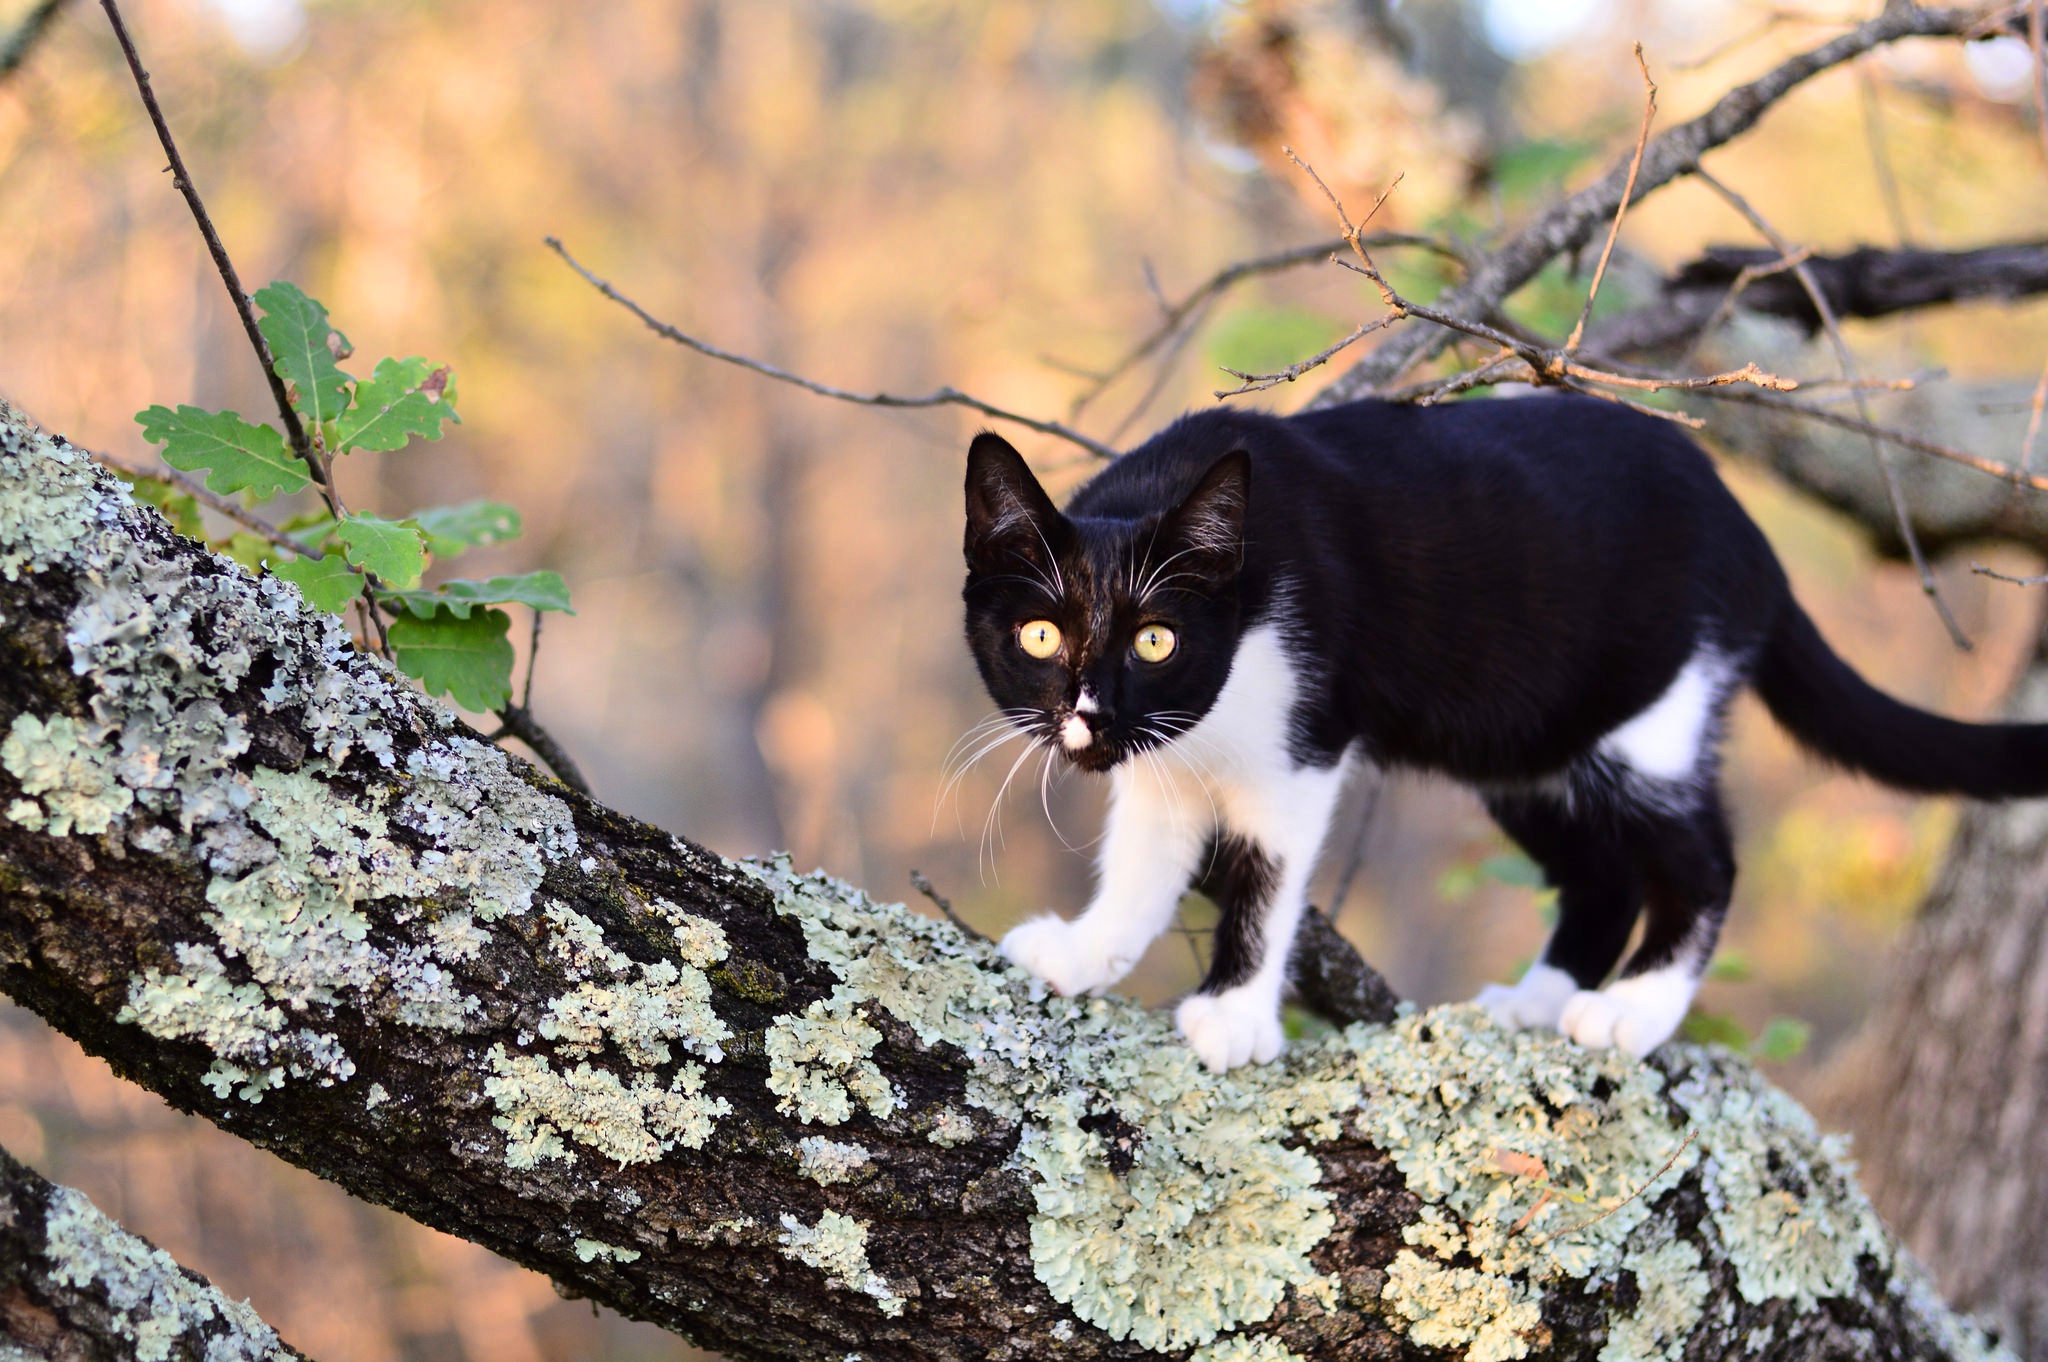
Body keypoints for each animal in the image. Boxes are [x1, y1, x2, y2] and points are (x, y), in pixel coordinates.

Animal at [958, 393, 2048, 1073]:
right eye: (1041, 634)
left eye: (1155, 639)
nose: (1091, 712)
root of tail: (1754, 539)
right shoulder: (1169, 755)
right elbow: (1144, 862)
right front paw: (1086, 953)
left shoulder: (1301, 742)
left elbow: (1265, 879)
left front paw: (1233, 1014)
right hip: (1521, 742)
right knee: (1601, 874)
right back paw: (1539, 999)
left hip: (1654, 711)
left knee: (1702, 860)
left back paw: (1631, 1010)